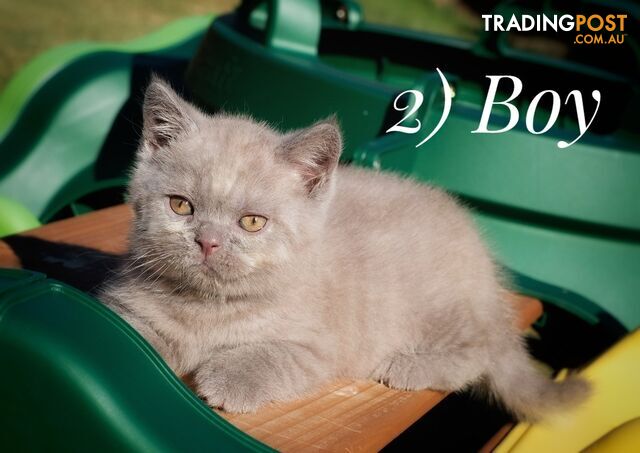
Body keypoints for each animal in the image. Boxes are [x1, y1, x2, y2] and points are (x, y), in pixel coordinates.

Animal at [99, 77, 592, 416]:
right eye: (181, 206)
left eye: (252, 222)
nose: (208, 241)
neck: (208, 309)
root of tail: (484, 265)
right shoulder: (127, 309)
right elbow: (128, 335)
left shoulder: (319, 346)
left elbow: (271, 355)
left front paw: (228, 377)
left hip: (439, 308)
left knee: (482, 349)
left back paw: (408, 366)